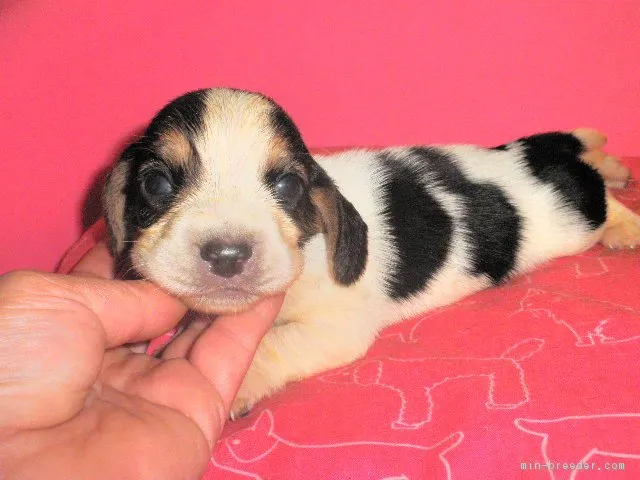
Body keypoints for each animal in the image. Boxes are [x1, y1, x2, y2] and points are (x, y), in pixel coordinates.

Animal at [105, 88, 640, 418]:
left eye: (287, 185)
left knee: (595, 194)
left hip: (571, 219)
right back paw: (613, 165)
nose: (227, 253)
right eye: (156, 184)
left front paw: (239, 381)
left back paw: (624, 222)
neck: (311, 244)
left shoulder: (336, 329)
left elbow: (271, 343)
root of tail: (524, 155)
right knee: (585, 157)